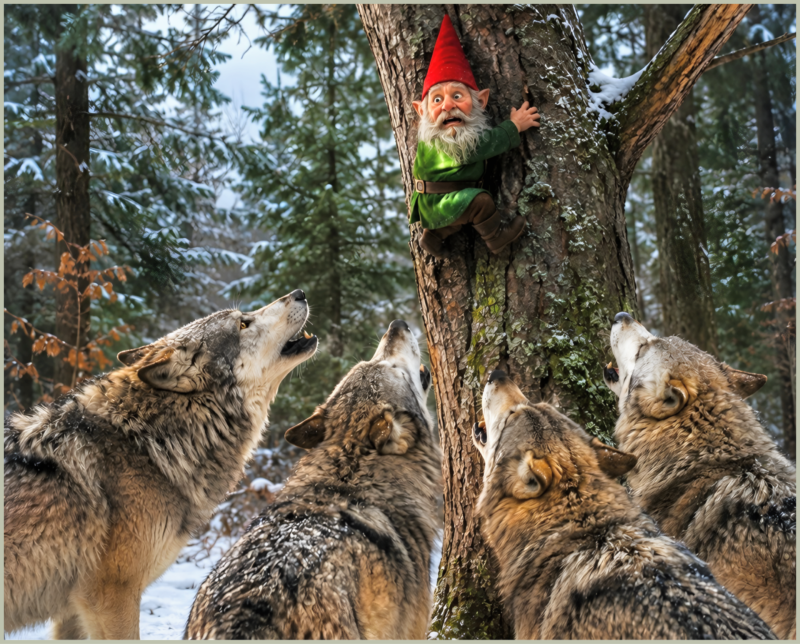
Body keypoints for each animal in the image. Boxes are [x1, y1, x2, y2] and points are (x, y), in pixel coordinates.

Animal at [184, 319, 441, 640]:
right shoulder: (413, 627)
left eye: (376, 362)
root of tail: (243, 614)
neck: (349, 473)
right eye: (393, 367)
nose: (397, 324)